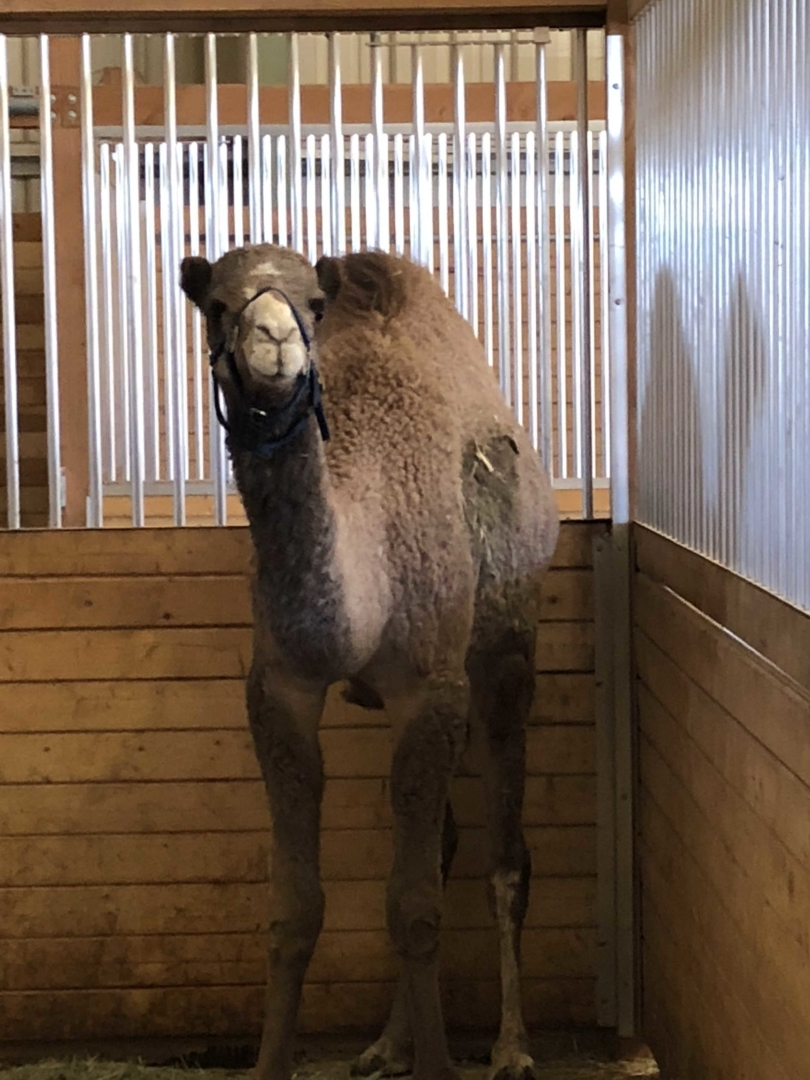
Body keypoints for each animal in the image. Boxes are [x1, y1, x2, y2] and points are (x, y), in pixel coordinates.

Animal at [182, 245, 565, 1080]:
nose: (273, 339)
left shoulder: (433, 686)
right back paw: (387, 1044)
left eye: (314, 304)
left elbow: (415, 908)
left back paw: (512, 1047)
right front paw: (271, 1063)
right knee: (443, 847)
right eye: (216, 304)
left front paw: (445, 1064)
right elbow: (297, 909)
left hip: (505, 658)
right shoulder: (280, 689)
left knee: (505, 858)